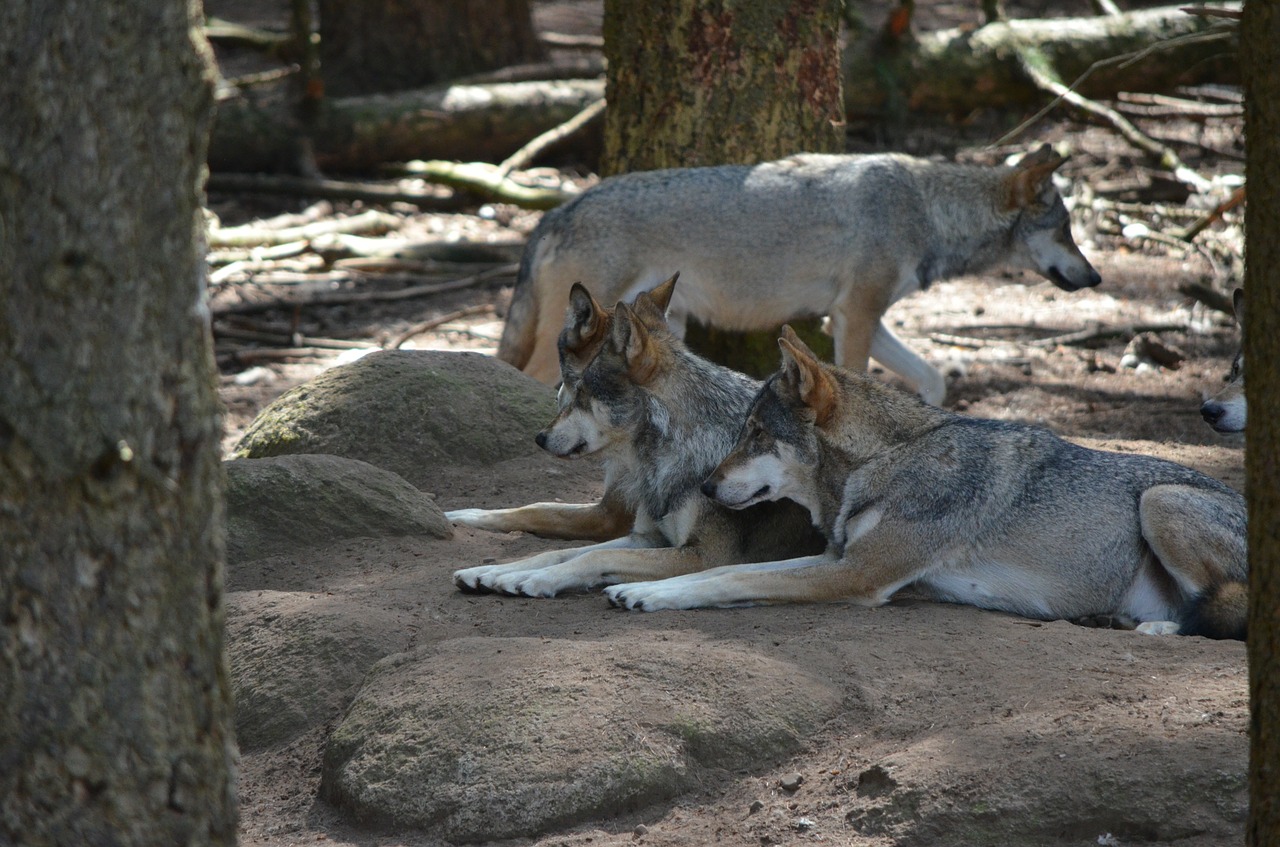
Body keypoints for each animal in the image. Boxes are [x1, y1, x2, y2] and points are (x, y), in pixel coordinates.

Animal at [455, 281, 824, 601]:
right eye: (575, 386)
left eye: (583, 392)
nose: (540, 438)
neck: (671, 454)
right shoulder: (646, 537)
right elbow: (560, 551)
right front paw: (495, 572)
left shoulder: (704, 556)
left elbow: (588, 557)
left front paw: (535, 581)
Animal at [496, 144, 1100, 406]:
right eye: (1067, 229)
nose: (1095, 278)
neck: (926, 209)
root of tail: (557, 210)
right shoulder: (857, 316)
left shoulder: (849, 318)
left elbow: (933, 378)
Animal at [604, 327, 1244, 639]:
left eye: (757, 434)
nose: (707, 489)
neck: (885, 460)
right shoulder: (838, 558)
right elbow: (716, 571)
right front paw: (644, 586)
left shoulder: (857, 574)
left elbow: (728, 578)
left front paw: (650, 595)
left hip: (1159, 500)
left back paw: (1158, 626)